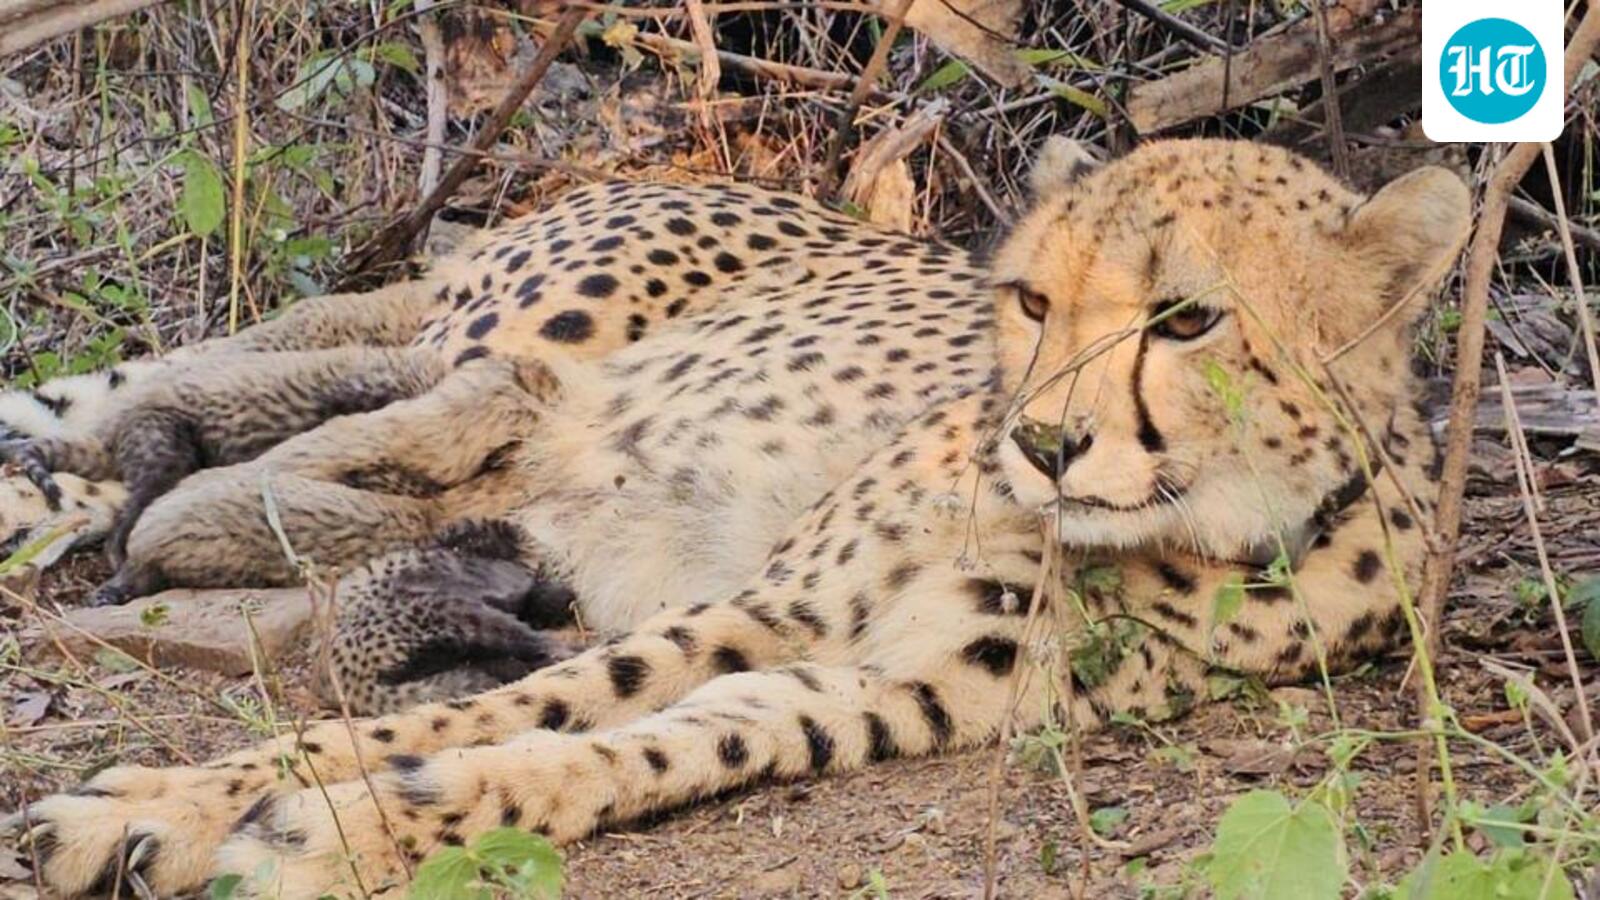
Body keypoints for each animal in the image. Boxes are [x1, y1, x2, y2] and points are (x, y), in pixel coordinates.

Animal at [0, 138, 1470, 898]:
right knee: (280, 373)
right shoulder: (772, 602)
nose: (1043, 443)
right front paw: (166, 803)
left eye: (1187, 318)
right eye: (1032, 299)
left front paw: (335, 831)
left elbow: (627, 749)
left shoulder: (887, 690)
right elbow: (500, 708)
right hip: (527, 325)